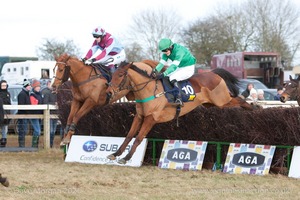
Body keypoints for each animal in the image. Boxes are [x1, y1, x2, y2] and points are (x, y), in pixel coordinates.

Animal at [105, 61, 253, 164]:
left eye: (120, 75)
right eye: (113, 75)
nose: (109, 92)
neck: (149, 90)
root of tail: (213, 73)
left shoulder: (151, 118)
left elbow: (138, 138)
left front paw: (126, 158)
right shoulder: (139, 116)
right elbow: (129, 136)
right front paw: (116, 153)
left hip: (221, 101)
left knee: (240, 100)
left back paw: (252, 108)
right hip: (211, 104)